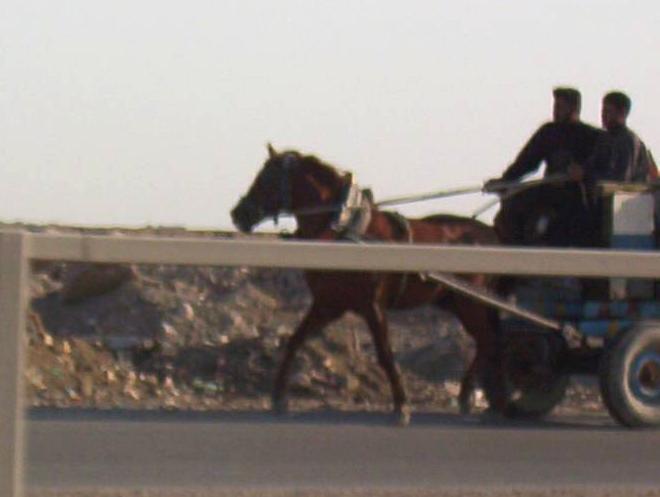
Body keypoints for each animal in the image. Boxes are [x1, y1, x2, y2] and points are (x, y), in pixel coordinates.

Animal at [231, 144, 506, 422]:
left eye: (267, 178)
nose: (238, 214)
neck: (345, 228)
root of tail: (490, 234)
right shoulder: (328, 304)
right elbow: (295, 340)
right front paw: (279, 398)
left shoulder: (372, 306)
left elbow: (385, 354)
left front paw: (401, 406)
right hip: (454, 303)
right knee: (488, 342)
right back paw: (474, 397)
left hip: (470, 303)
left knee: (488, 340)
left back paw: (471, 395)